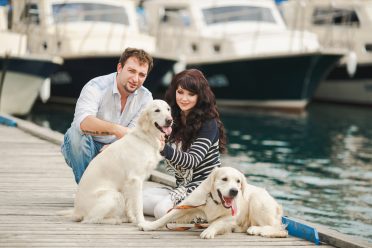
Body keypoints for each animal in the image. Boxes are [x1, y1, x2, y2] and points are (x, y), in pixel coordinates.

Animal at [140, 167, 288, 238]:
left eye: (238, 181)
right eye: (224, 179)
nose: (234, 191)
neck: (215, 201)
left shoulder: (231, 216)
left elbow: (217, 222)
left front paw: (209, 231)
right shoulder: (188, 205)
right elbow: (166, 217)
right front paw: (149, 226)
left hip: (257, 200)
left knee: (281, 229)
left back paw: (256, 229)